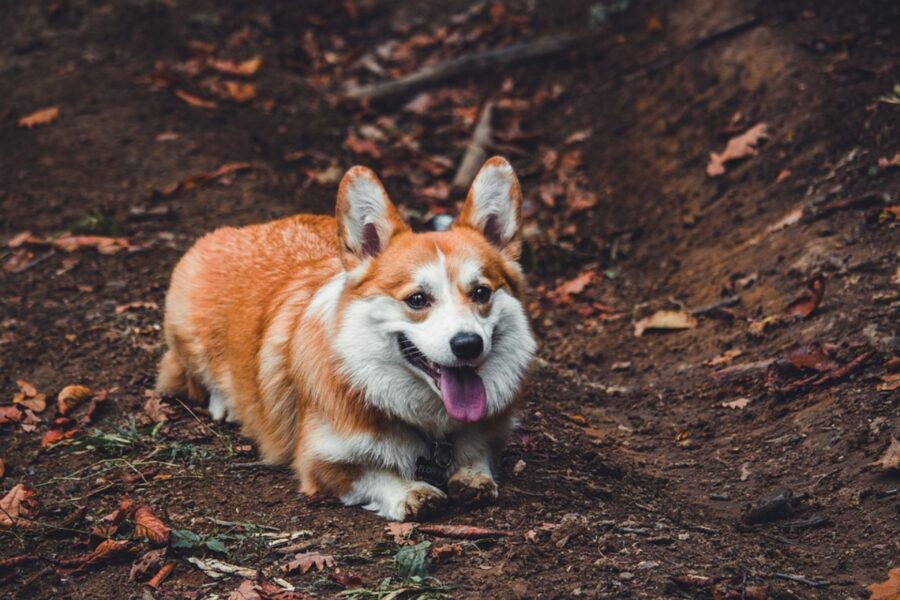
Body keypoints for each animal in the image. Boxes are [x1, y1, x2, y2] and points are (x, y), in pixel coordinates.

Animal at [156, 156, 536, 520]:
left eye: (481, 292)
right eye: (417, 299)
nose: (468, 345)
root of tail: (246, 228)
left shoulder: (489, 435)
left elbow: (477, 455)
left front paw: (472, 477)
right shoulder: (320, 462)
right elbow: (377, 474)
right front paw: (412, 492)